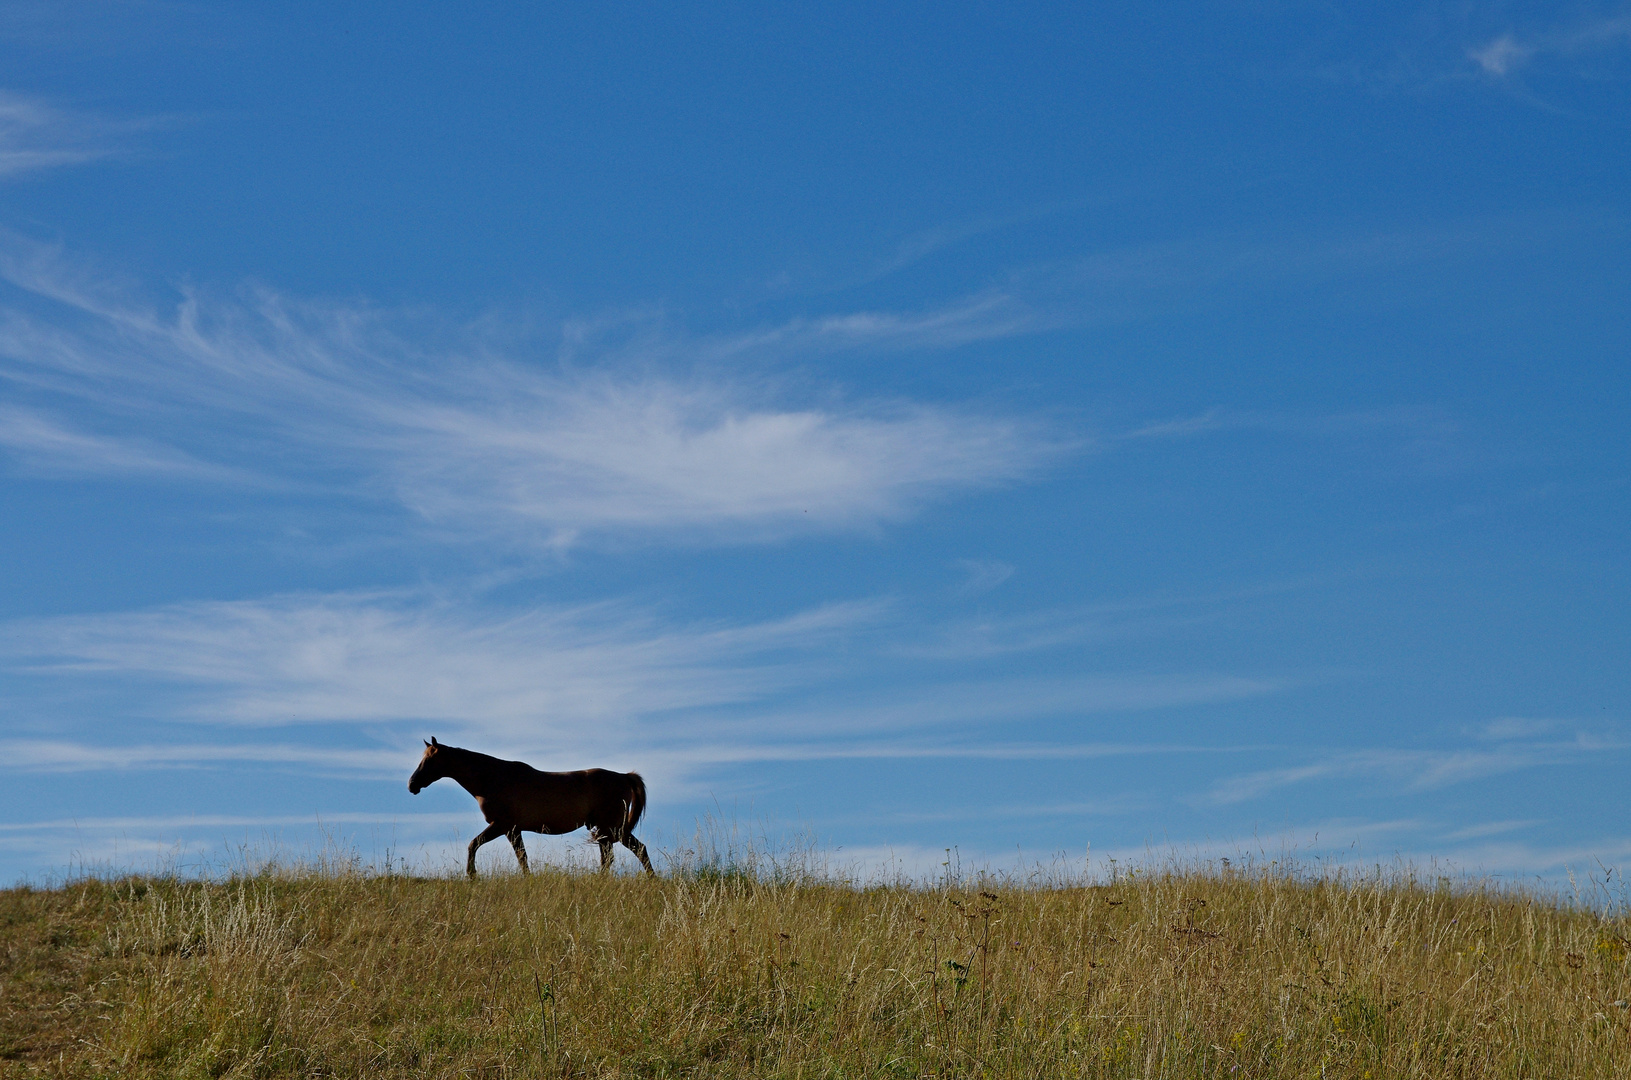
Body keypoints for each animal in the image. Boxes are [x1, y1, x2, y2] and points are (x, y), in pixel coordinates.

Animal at [407, 740, 655, 887]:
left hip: (610, 829)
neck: (491, 778)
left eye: (430, 759)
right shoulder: (513, 830)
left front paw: (472, 875)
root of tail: (624, 776)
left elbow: (474, 845)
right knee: (627, 853)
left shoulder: (502, 826)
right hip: (610, 831)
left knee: (622, 854)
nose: (412, 784)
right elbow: (522, 857)